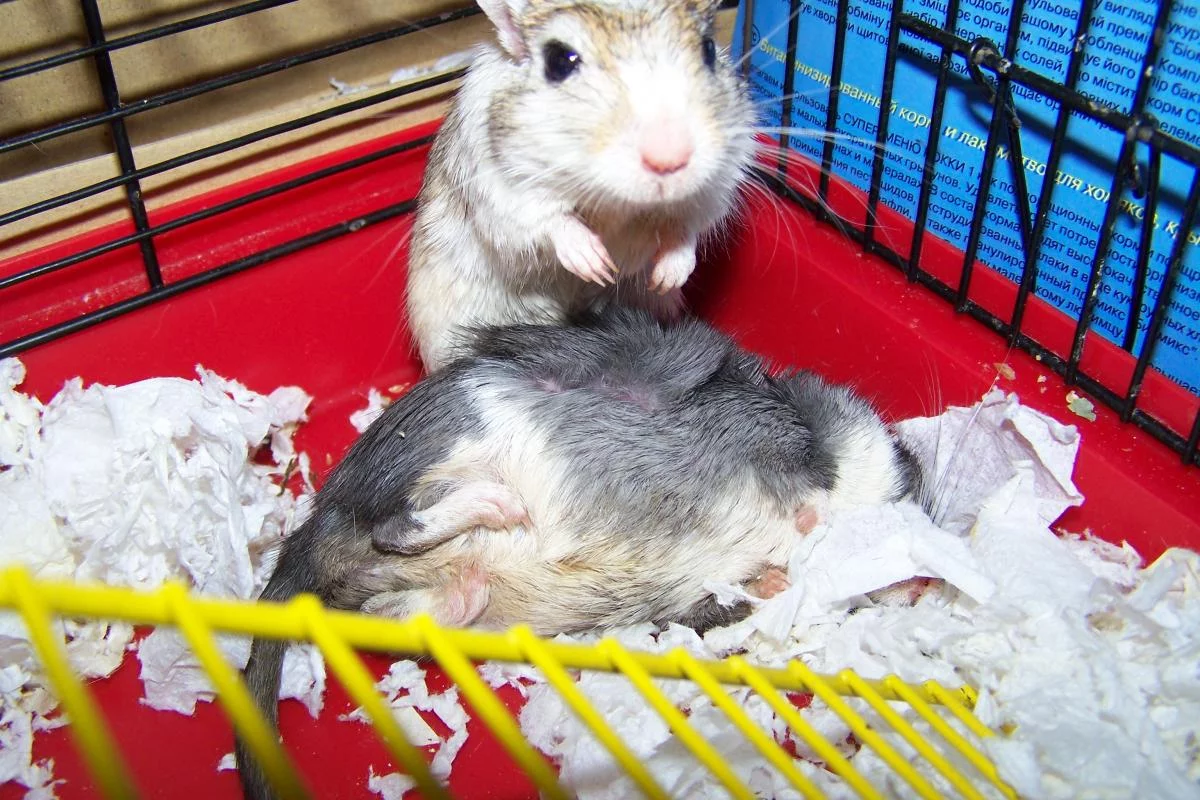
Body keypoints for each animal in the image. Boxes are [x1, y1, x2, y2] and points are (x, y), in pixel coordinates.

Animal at [236, 308, 923, 799]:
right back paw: (498, 505)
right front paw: (806, 529)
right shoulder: (778, 440)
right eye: (906, 456)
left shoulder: (702, 597)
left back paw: (465, 593)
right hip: (455, 434)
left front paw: (780, 582)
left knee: (398, 612)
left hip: (392, 590)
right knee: (396, 525)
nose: (918, 583)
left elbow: (737, 594)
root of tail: (311, 534)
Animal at [405, 0, 757, 371]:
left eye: (708, 49)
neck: (616, 201)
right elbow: (551, 222)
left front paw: (666, 277)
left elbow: (686, 228)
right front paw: (597, 266)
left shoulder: (717, 184)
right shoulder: (503, 193)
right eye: (559, 61)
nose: (669, 159)